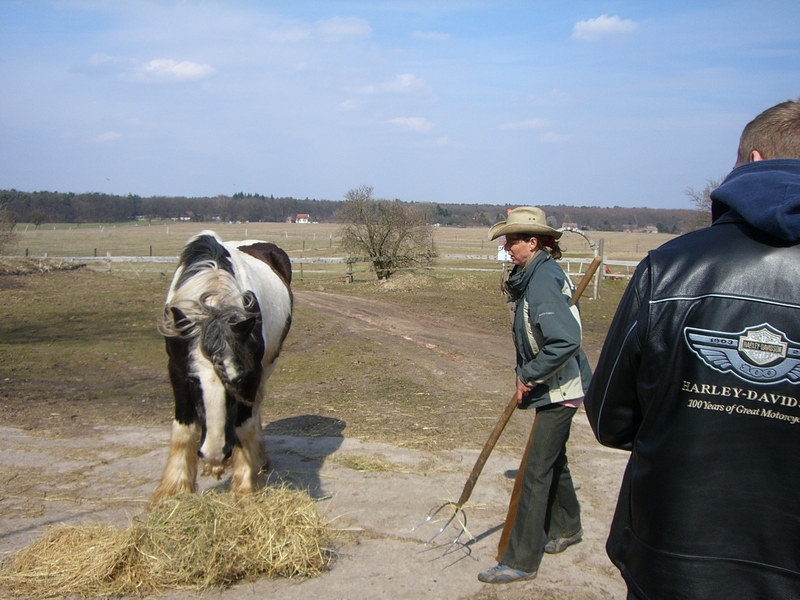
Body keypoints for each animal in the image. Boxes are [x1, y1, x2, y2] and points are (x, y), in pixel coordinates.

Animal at [153, 231, 292, 503]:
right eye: (193, 381)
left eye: (239, 380)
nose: (214, 452)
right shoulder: (176, 368)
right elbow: (184, 426)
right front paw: (174, 489)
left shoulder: (254, 372)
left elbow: (244, 424)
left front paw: (247, 484)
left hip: (269, 364)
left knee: (256, 409)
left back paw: (260, 459)